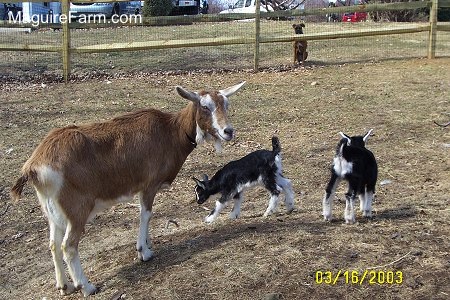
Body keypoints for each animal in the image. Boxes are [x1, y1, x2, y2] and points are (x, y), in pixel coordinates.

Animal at [9, 81, 246, 296]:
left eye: (226, 104)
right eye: (205, 106)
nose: (228, 131)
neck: (171, 131)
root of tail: (34, 166)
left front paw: (148, 244)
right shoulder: (149, 185)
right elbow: (146, 214)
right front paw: (144, 252)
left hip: (52, 210)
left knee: (53, 244)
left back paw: (64, 286)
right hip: (76, 208)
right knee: (68, 246)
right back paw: (86, 286)